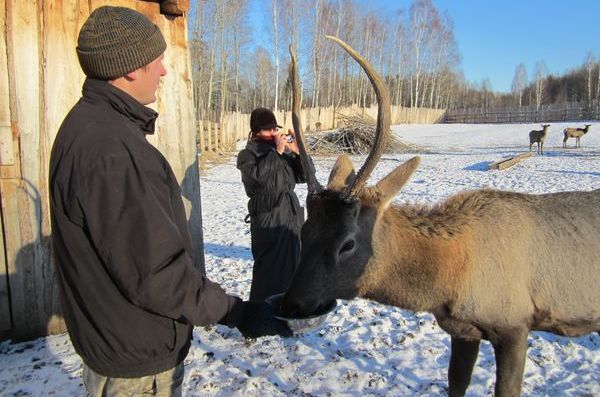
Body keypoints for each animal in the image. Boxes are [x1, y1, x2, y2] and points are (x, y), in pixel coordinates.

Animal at [282, 36, 600, 396]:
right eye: (305, 230)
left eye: (347, 243)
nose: (291, 304)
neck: (450, 281)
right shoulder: (463, 329)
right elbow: (455, 383)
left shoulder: (515, 325)